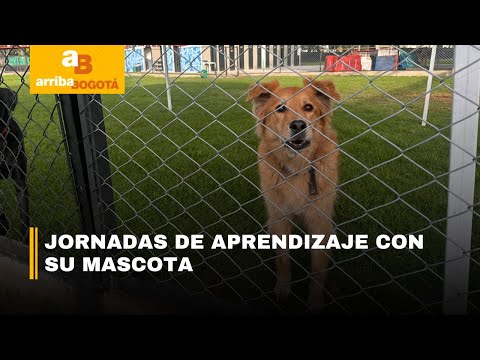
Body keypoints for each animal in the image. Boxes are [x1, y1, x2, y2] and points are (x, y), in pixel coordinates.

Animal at [248, 78, 342, 310]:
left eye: (308, 107)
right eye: (280, 109)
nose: (298, 125)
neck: (298, 167)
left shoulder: (319, 221)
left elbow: (318, 270)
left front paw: (315, 302)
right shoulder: (279, 217)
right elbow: (283, 259)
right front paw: (283, 289)